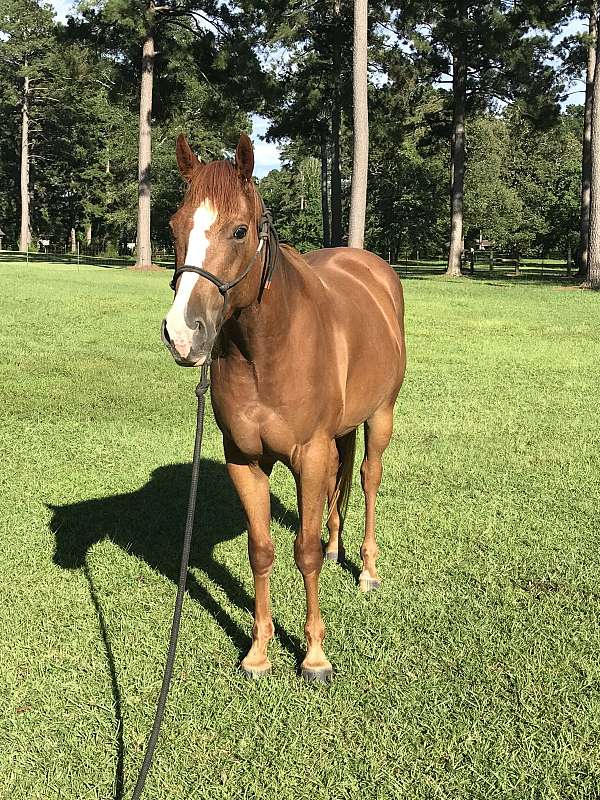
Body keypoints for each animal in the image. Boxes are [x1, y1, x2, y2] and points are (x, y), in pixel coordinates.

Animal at [161, 132, 406, 682]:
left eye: (239, 230)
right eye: (174, 226)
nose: (184, 334)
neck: (266, 352)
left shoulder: (308, 456)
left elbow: (305, 553)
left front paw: (314, 655)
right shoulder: (244, 459)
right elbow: (262, 550)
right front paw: (258, 650)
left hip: (380, 417)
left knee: (368, 478)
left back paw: (367, 569)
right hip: (341, 431)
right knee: (341, 483)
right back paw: (339, 548)